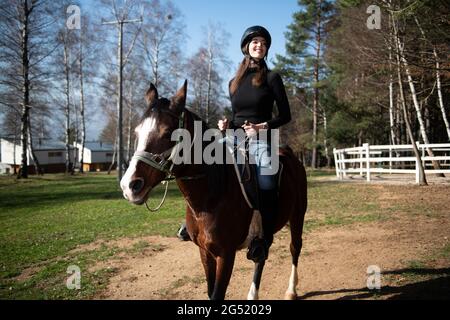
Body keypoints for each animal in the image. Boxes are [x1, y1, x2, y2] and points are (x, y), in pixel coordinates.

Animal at [121, 80, 308, 300]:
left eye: (168, 132)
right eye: (136, 132)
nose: (130, 186)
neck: (211, 197)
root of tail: (290, 154)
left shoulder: (226, 255)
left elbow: (218, 294)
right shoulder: (205, 252)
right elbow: (211, 292)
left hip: (297, 216)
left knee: (294, 247)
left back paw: (291, 290)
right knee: (261, 258)